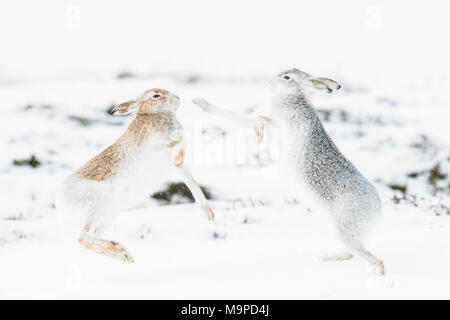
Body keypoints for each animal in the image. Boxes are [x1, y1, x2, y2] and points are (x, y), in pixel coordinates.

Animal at [55, 87, 214, 262]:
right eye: (156, 95)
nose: (177, 98)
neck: (154, 114)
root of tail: (61, 201)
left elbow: (193, 184)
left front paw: (209, 215)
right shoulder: (155, 145)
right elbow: (176, 143)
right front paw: (178, 155)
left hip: (109, 214)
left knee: (90, 236)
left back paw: (124, 254)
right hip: (97, 205)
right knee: (83, 237)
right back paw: (122, 251)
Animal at [192, 69, 384, 276]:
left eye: (286, 77)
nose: (269, 83)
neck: (294, 96)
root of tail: (377, 208)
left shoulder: (280, 124)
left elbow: (251, 119)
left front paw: (201, 103)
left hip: (345, 228)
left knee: (374, 259)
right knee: (351, 253)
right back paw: (327, 258)